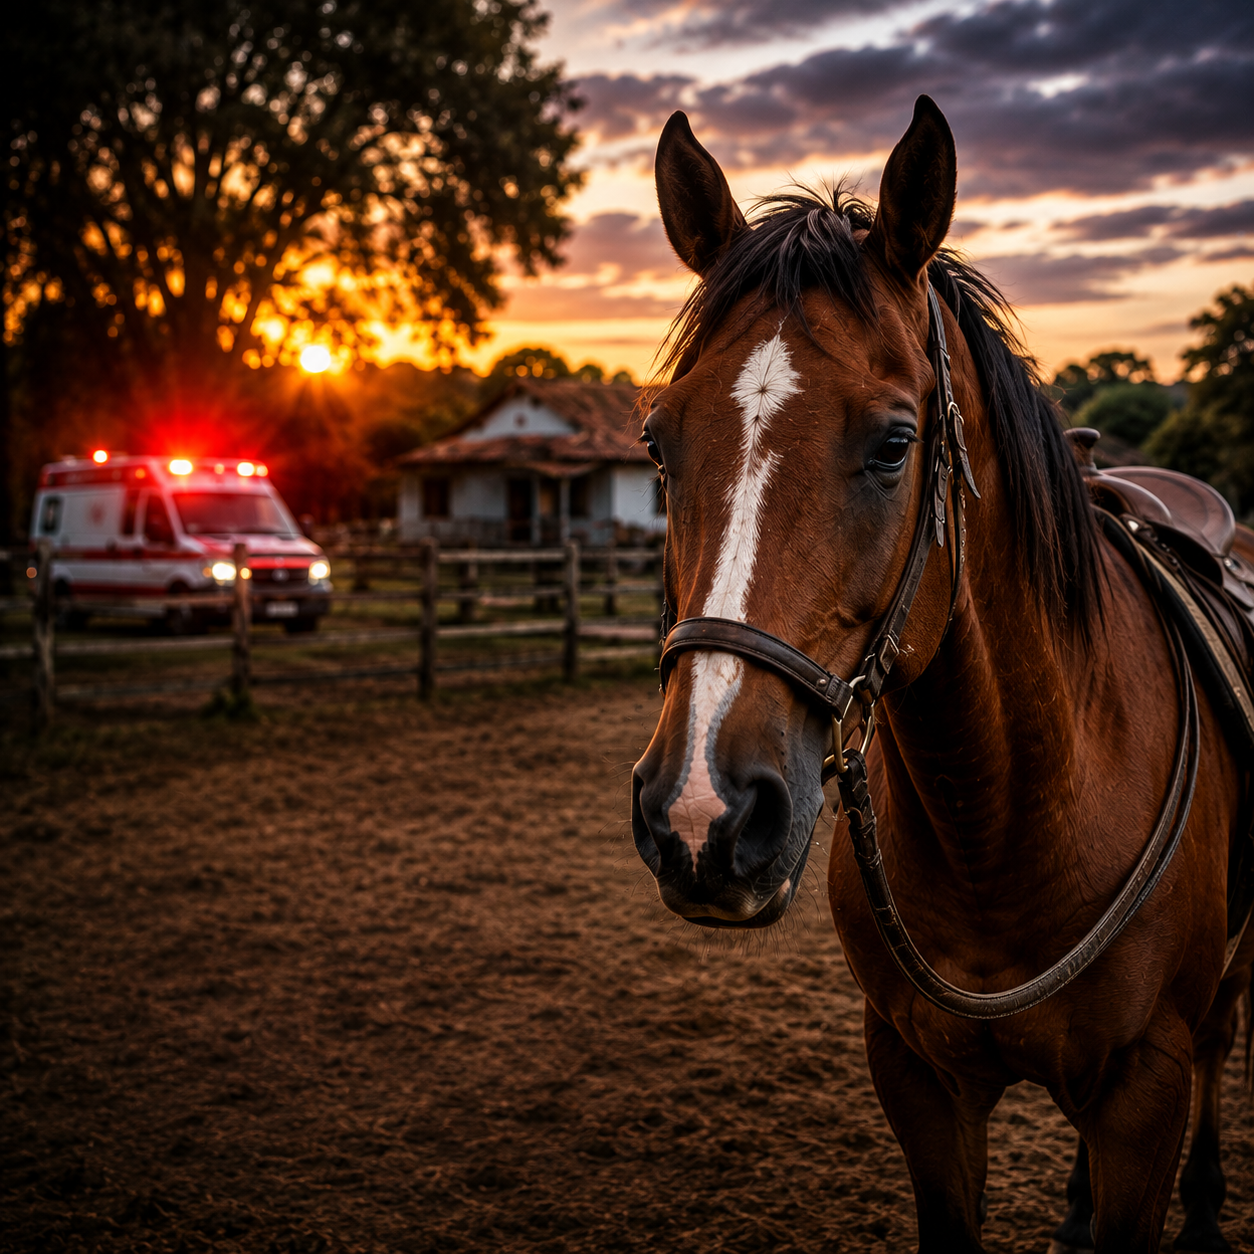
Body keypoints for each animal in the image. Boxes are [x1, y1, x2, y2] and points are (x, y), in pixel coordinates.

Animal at [630, 95, 1254, 1252]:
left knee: (1224, 1038)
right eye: (658, 441)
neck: (1006, 823)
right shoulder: (917, 1077)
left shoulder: (1144, 1089)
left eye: (894, 443)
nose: (700, 815)